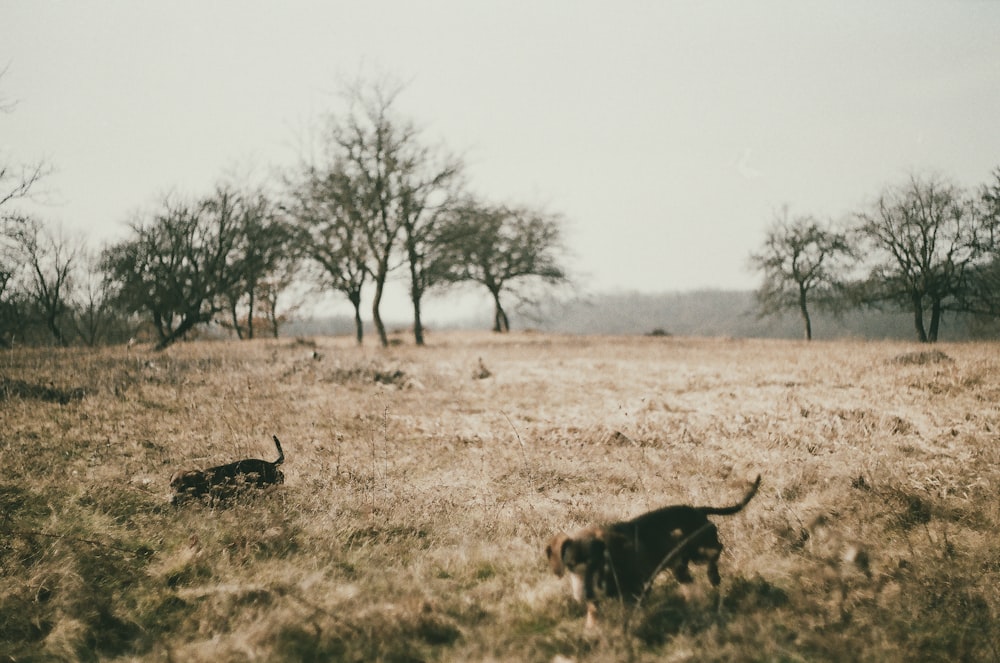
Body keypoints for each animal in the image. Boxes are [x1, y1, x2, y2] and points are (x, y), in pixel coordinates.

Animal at [544, 474, 760, 624]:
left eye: (596, 563)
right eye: (570, 565)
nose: (585, 594)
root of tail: (697, 510)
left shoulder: (641, 588)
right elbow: (594, 612)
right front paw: (592, 630)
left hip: (700, 551)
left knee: (716, 551)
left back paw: (713, 576)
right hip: (680, 566)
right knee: (689, 580)